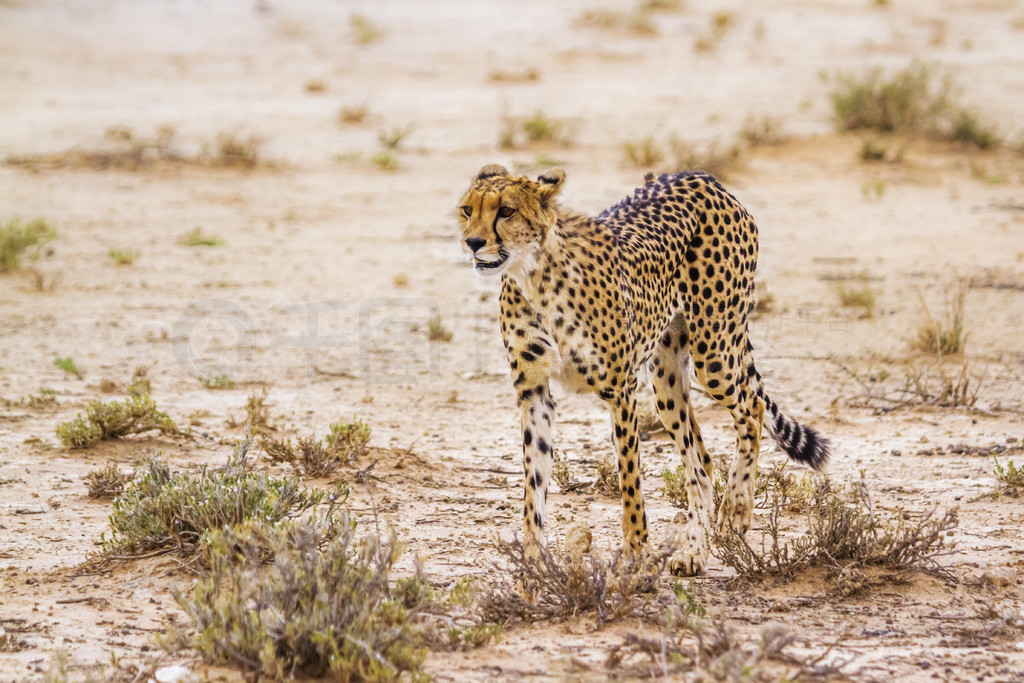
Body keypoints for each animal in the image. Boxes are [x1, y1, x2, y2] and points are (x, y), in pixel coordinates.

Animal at [460, 163, 827, 573]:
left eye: (506, 211)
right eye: (467, 210)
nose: (473, 242)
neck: (534, 275)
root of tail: (699, 177)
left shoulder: (620, 391)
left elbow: (630, 481)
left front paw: (636, 555)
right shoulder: (534, 393)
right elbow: (534, 484)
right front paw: (533, 567)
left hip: (714, 353)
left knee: (752, 408)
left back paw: (735, 510)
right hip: (666, 378)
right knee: (701, 462)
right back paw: (694, 552)